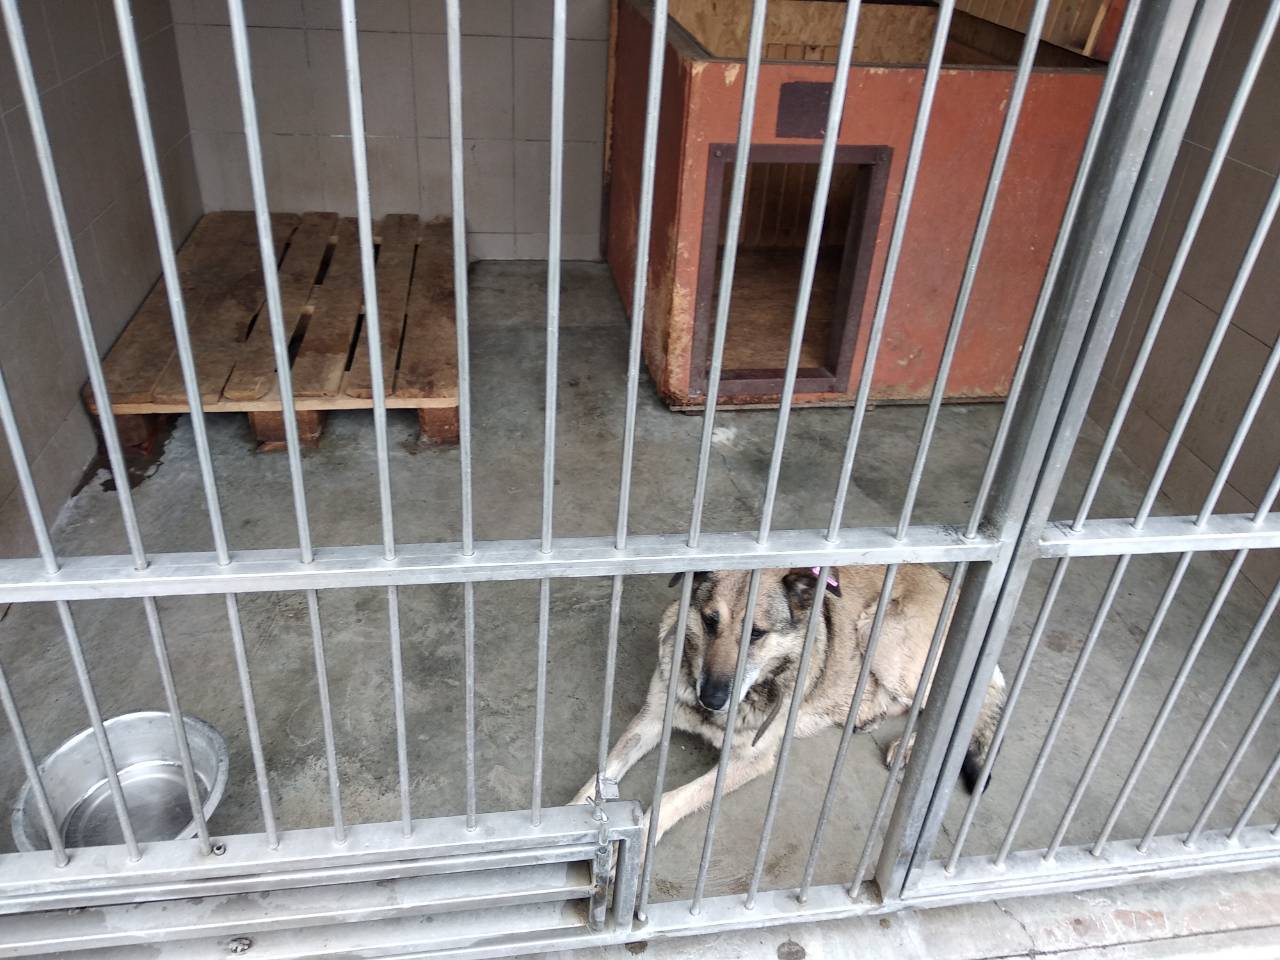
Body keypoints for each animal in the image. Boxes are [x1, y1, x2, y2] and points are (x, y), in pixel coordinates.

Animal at [572, 565, 1006, 845]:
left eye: (756, 634)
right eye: (711, 621)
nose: (710, 699)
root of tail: (951, 581)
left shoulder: (749, 759)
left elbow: (671, 797)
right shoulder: (652, 718)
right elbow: (600, 775)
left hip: (886, 639)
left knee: (969, 700)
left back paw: (913, 748)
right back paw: (867, 714)